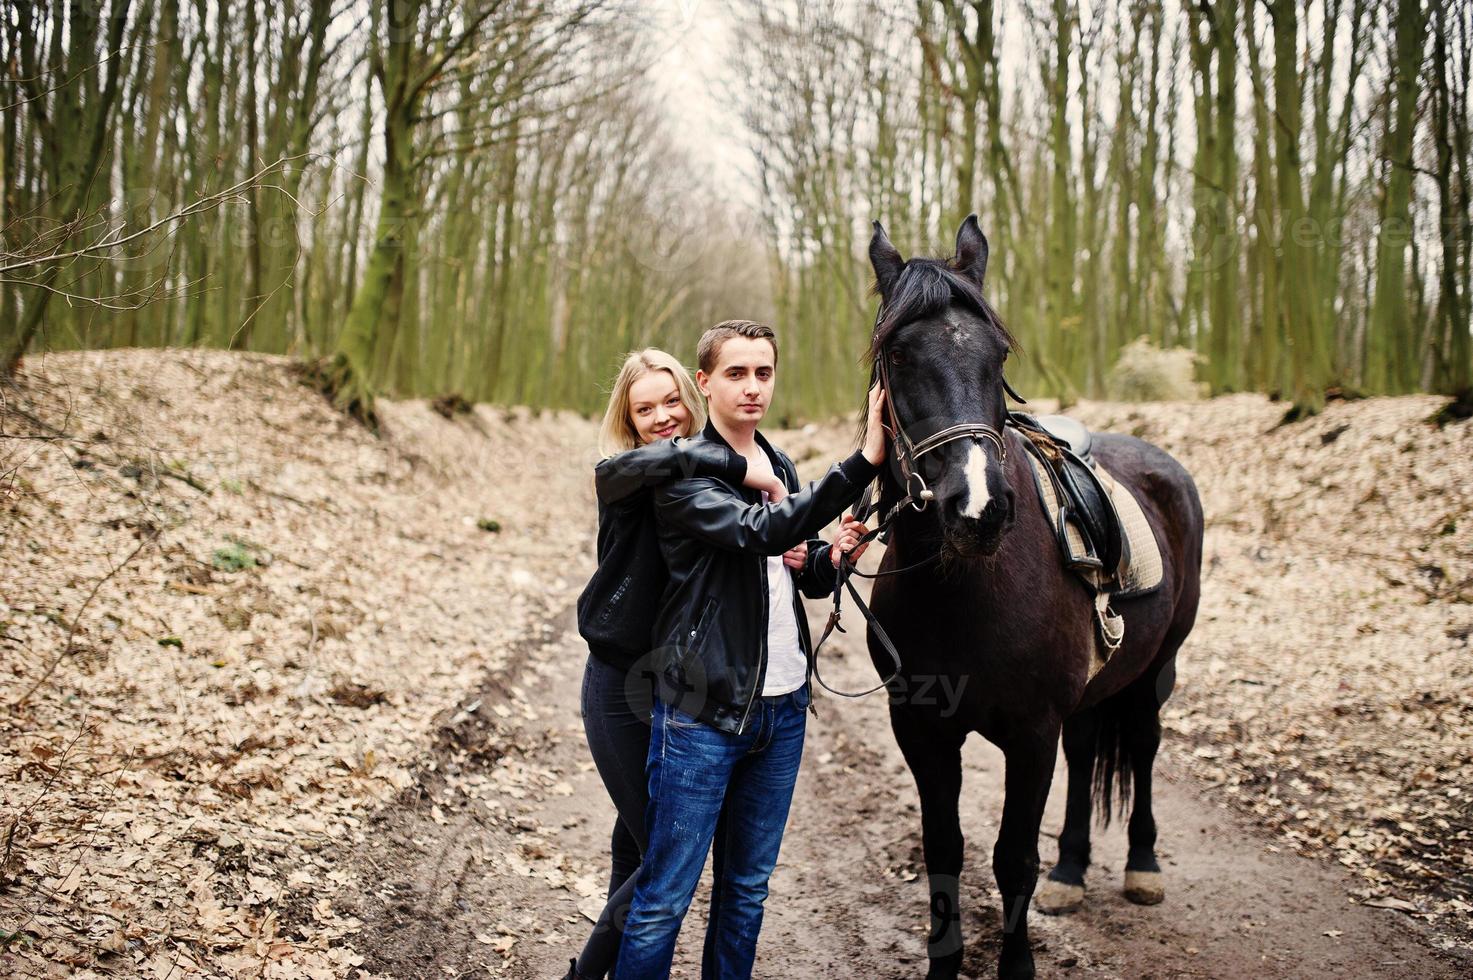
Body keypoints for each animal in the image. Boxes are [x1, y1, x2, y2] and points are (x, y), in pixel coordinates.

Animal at [860, 218, 1201, 972]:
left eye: (998, 354)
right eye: (897, 355)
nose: (978, 508)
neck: (961, 591)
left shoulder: (1031, 732)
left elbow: (1012, 858)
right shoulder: (920, 729)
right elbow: (944, 851)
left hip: (1156, 669)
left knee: (1141, 744)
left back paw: (1142, 867)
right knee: (1087, 750)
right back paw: (1071, 870)